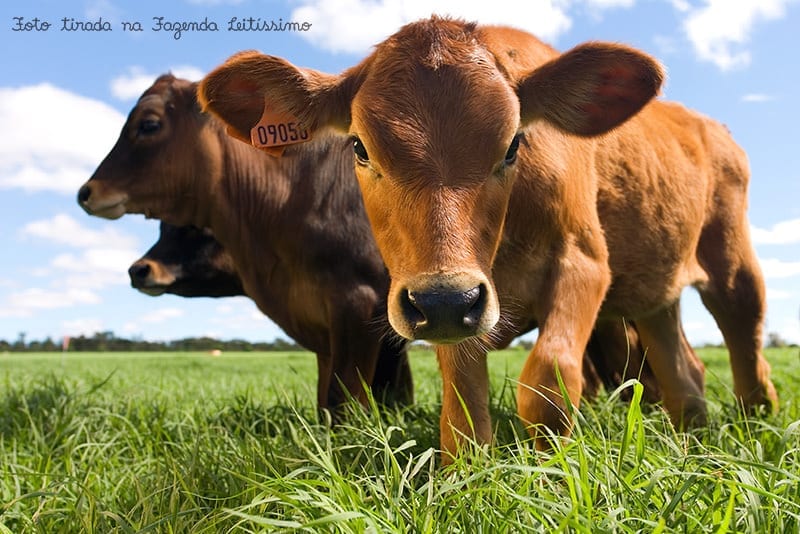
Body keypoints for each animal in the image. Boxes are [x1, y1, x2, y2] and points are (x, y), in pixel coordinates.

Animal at [198, 17, 776, 460]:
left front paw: (553, 479)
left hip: (733, 267)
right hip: (655, 290)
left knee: (749, 350)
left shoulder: (584, 264)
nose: (445, 299)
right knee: (685, 377)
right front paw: (467, 483)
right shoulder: (447, 306)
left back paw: (759, 432)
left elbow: (550, 381)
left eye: (513, 143)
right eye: (360, 148)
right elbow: (462, 409)